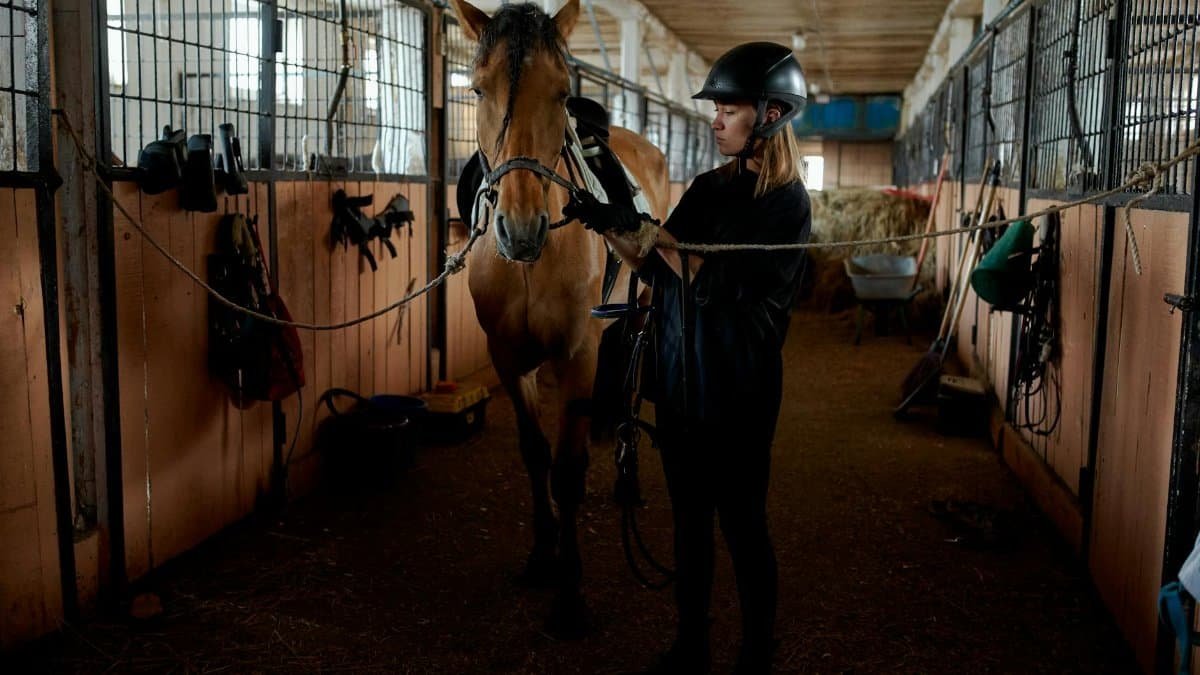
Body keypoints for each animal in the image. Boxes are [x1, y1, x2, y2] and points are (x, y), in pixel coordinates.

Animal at [448, 0, 669, 636]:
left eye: (562, 92)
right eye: (478, 88)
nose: (521, 230)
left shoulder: (578, 357)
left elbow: (568, 469)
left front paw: (570, 594)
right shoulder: (506, 357)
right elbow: (535, 455)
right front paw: (542, 555)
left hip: (637, 319)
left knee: (630, 392)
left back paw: (628, 484)